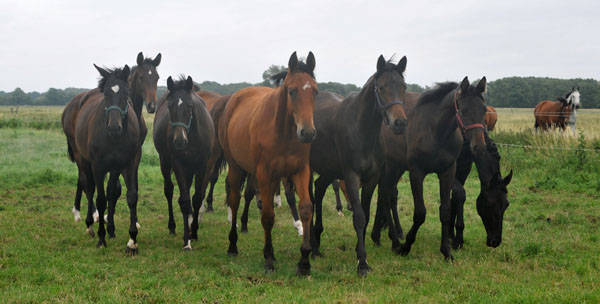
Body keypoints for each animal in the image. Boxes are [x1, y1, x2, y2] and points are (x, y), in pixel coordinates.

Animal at [74, 64, 141, 254]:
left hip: (114, 168)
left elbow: (130, 196)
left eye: (126, 94)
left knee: (111, 191)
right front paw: (101, 238)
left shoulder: (127, 163)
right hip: (84, 161)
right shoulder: (98, 166)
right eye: (106, 95)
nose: (114, 128)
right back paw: (90, 226)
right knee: (88, 188)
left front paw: (132, 241)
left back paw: (111, 229)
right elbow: (100, 199)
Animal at [154, 76, 214, 249]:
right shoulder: (178, 164)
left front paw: (194, 231)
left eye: (190, 106)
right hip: (166, 163)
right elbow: (185, 200)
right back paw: (172, 226)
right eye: (170, 106)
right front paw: (187, 239)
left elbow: (197, 198)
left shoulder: (202, 165)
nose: (180, 141)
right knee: (170, 191)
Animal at [220, 51, 318, 274]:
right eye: (292, 91)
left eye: (315, 92)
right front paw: (268, 260)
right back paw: (232, 246)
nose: (307, 133)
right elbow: (267, 216)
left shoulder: (300, 171)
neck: (283, 132)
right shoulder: (264, 174)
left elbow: (306, 208)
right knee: (235, 200)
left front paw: (304, 261)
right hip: (236, 166)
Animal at [308, 54, 410, 276]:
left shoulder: (372, 179)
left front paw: (358, 251)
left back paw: (317, 244)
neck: (363, 129)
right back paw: (311, 244)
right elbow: (359, 217)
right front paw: (363, 262)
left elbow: (367, 212)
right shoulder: (352, 176)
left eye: (403, 87)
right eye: (381, 87)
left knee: (319, 189)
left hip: (329, 169)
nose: (400, 123)